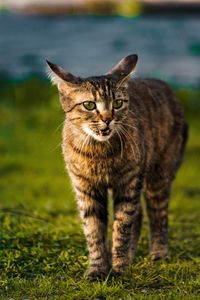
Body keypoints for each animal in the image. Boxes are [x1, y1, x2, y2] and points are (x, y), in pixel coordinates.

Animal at [47, 55, 188, 280]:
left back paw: (158, 252)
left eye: (118, 103)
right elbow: (94, 230)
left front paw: (119, 267)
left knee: (158, 215)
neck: (99, 152)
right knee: (139, 215)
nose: (107, 119)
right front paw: (98, 267)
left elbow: (122, 226)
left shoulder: (128, 185)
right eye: (89, 105)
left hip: (158, 177)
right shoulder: (86, 188)